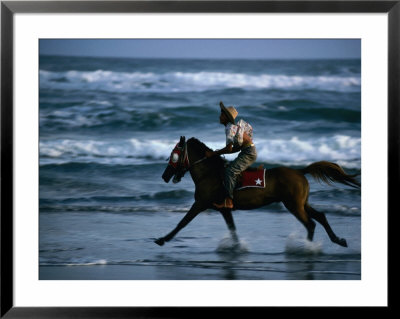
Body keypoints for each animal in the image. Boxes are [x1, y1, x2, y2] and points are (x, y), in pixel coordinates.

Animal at [155, 136, 360, 249]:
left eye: (174, 155)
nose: (164, 176)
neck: (209, 173)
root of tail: (300, 171)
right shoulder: (224, 209)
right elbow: (232, 229)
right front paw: (236, 247)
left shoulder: (200, 204)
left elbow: (182, 223)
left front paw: (163, 239)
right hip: (302, 203)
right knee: (320, 217)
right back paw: (338, 240)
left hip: (293, 205)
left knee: (310, 223)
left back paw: (306, 246)